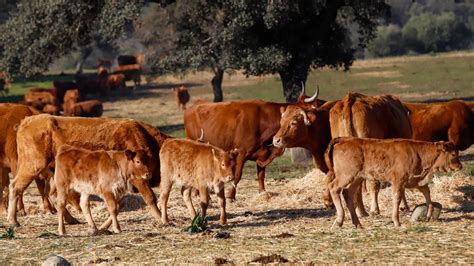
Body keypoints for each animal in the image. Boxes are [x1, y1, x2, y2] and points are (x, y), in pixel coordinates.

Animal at [7, 114, 170, 227]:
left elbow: (117, 204)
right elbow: (150, 198)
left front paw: (104, 226)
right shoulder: (139, 179)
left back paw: (71, 219)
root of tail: (25, 121)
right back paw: (13, 221)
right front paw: (164, 220)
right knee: (15, 187)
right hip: (32, 166)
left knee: (53, 194)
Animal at [183, 87, 324, 200]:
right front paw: (231, 196)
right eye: (315, 106)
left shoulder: (263, 154)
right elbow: (237, 175)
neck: (263, 120)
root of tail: (193, 106)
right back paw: (197, 194)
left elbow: (261, 175)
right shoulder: (241, 152)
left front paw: (262, 193)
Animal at [328, 137, 462, 229]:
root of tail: (344, 139)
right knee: (334, 188)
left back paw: (357, 224)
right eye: (453, 154)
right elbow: (397, 198)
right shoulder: (398, 180)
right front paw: (397, 222)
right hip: (346, 176)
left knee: (347, 194)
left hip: (357, 178)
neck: (417, 153)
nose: (460, 166)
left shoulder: (414, 180)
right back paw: (339, 221)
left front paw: (429, 215)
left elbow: (427, 192)